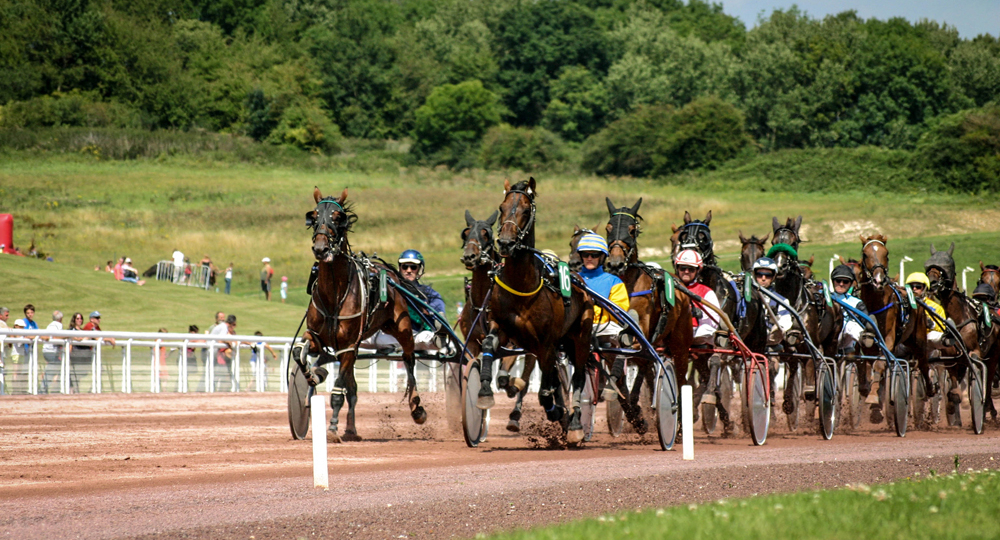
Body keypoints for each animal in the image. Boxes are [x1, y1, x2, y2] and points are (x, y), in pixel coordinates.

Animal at [306, 188, 428, 440]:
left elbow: (338, 390)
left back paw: (417, 408)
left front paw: (332, 427)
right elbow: (299, 353)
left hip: (402, 328)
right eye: (314, 216)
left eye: (337, 217)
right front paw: (315, 373)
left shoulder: (347, 346)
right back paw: (351, 429)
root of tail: (389, 272)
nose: (321, 248)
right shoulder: (315, 336)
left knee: (409, 360)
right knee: (352, 386)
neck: (334, 294)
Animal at [460, 209, 540, 432]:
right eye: (465, 233)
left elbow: (505, 377)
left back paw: (515, 413)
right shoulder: (473, 343)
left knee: (526, 376)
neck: (483, 303)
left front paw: (512, 385)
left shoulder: (511, 342)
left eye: (486, 233)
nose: (470, 256)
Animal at [476, 177, 592, 442]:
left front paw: (556, 411)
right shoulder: (504, 328)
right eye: (501, 208)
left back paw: (574, 424)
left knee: (578, 376)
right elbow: (488, 344)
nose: (506, 243)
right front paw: (485, 391)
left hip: (581, 336)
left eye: (526, 211)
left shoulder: (546, 342)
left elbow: (546, 391)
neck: (522, 284)